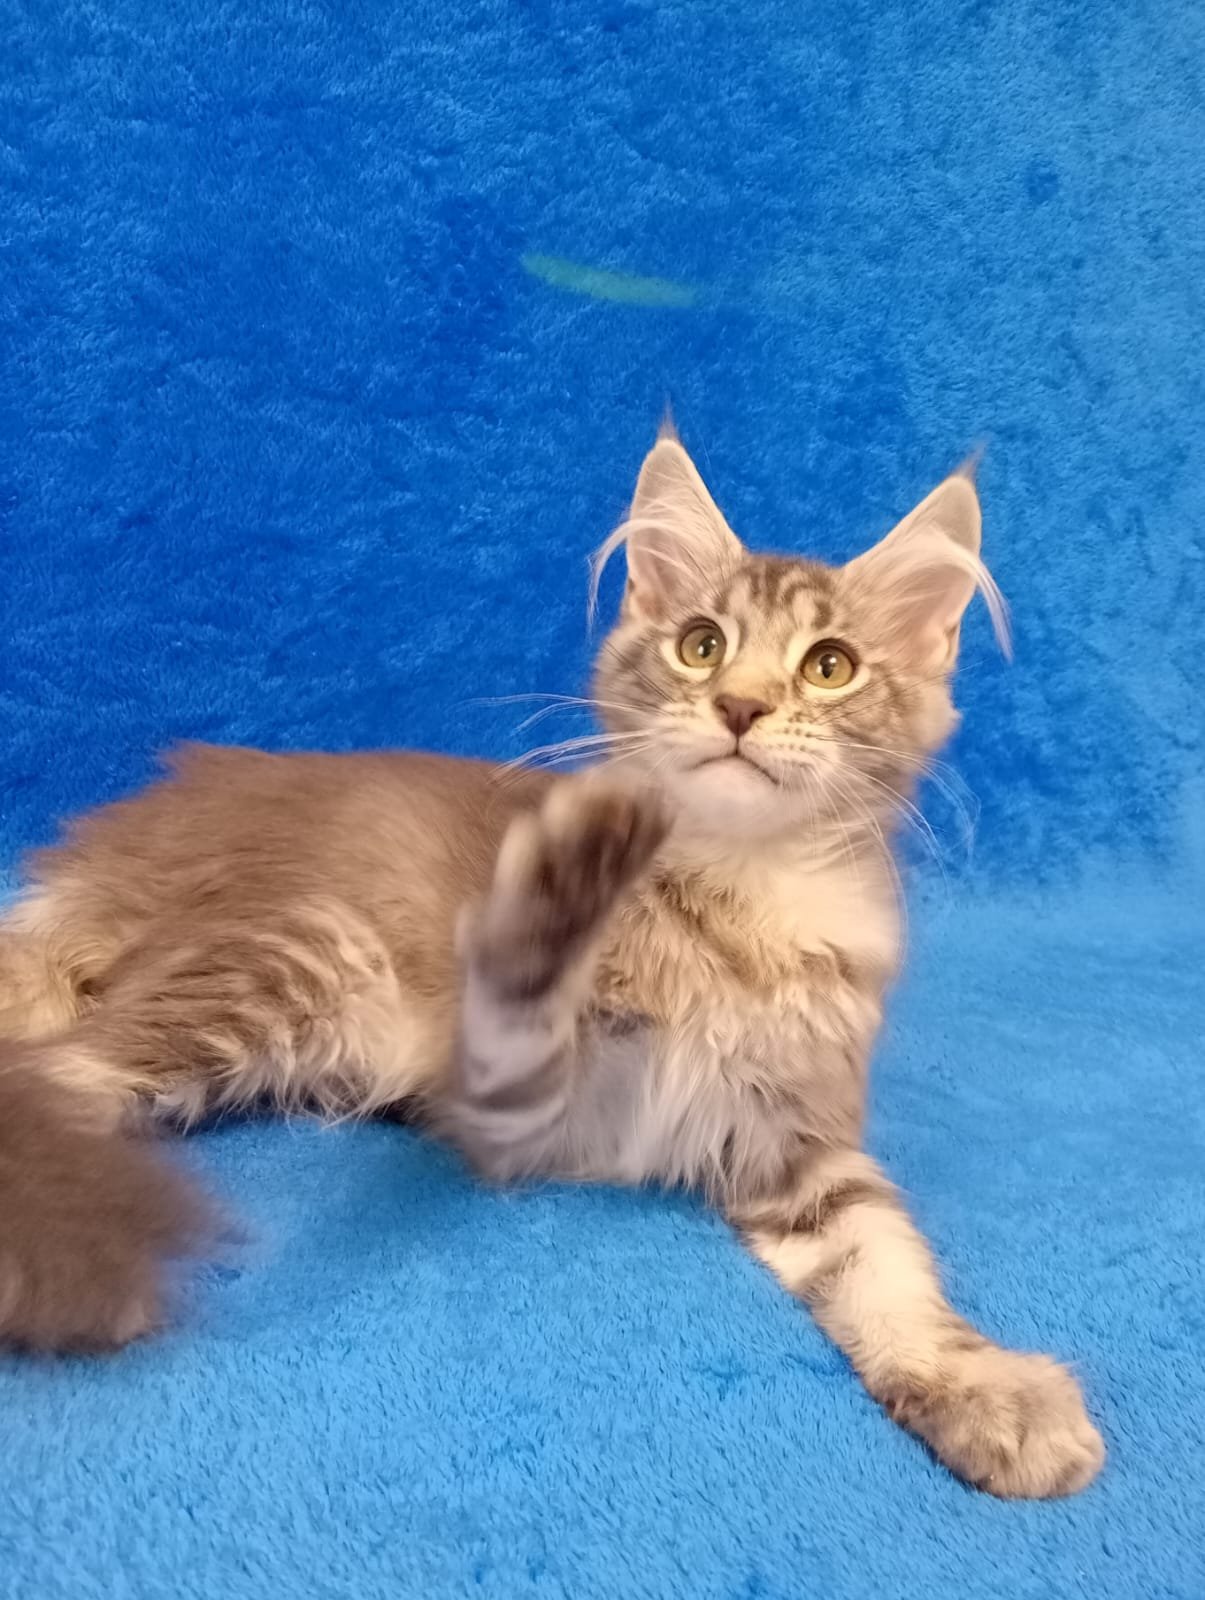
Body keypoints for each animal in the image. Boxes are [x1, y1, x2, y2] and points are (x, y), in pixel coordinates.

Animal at [0, 427, 1104, 1498]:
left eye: (828, 665)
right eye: (701, 647)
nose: (739, 707)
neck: (745, 901)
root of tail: (110, 853)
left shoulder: (795, 1142)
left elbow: (885, 1262)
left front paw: (985, 1390)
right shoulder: (507, 1098)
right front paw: (569, 874)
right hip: (294, 953)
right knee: (49, 1078)